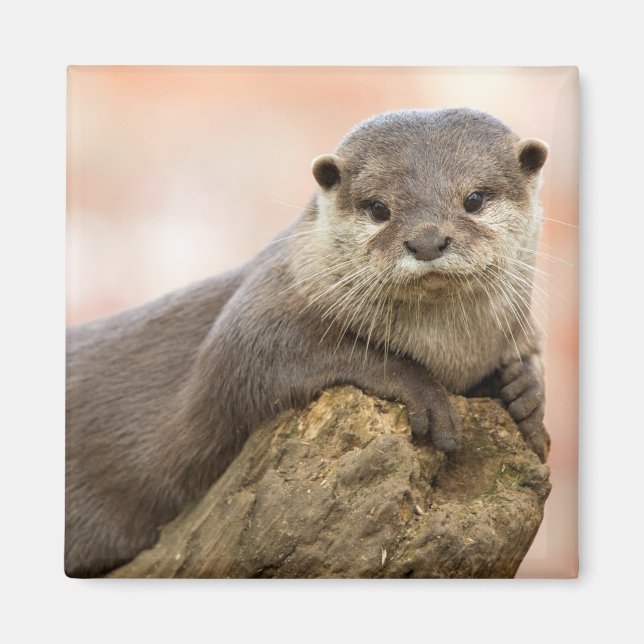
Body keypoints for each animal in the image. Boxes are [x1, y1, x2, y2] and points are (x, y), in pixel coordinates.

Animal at [66, 108, 550, 577]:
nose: (428, 239)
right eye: (379, 208)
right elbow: (260, 357)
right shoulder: (257, 312)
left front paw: (525, 395)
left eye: (474, 199)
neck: (451, 352)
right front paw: (425, 393)